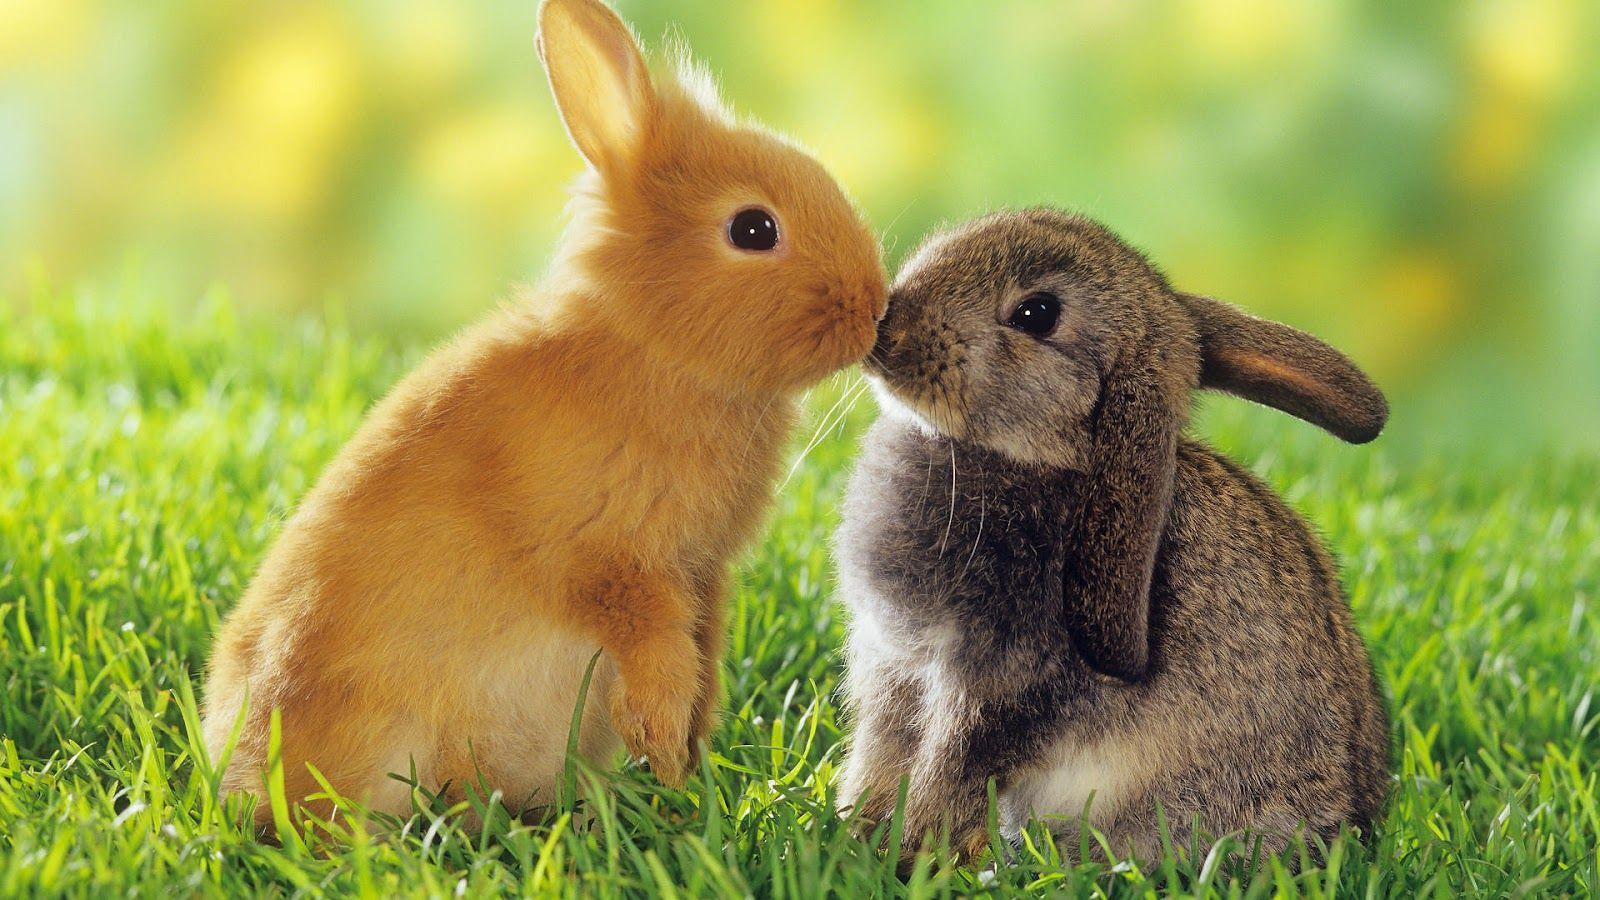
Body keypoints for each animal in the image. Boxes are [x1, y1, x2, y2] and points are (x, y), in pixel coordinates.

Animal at [202, 0, 886, 828]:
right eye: (753, 229)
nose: (874, 308)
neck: (653, 349)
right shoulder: (616, 567)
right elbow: (657, 658)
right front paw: (666, 758)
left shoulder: (702, 576)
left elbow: (703, 661)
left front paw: (688, 766)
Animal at [832, 207, 1390, 863]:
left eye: (1037, 314)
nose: (887, 329)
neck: (1046, 457)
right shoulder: (894, 669)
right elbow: (881, 756)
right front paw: (853, 832)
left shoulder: (999, 685)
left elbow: (950, 771)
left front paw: (906, 852)